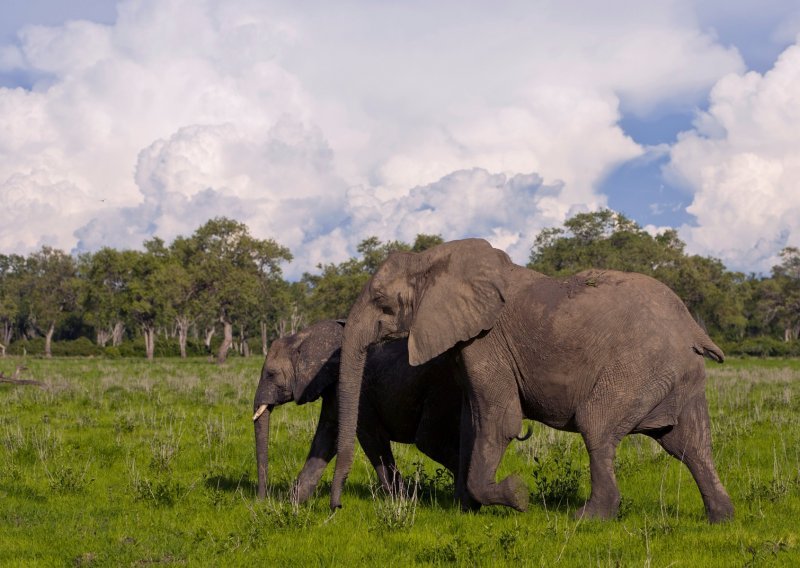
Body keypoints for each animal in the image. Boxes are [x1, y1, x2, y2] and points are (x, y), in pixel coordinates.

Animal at [250, 320, 462, 502]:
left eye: (271, 374)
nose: (261, 500)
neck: (304, 336)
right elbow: (328, 435)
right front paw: (292, 503)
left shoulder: (359, 392)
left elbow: (370, 438)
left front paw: (404, 502)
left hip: (441, 390)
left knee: (429, 441)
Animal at [328, 237, 736, 520]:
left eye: (383, 304)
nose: (336, 508)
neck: (431, 259)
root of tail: (691, 327)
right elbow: (472, 420)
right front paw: (465, 509)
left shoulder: (486, 341)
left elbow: (500, 421)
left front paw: (516, 496)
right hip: (677, 375)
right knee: (689, 443)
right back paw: (721, 518)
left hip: (639, 366)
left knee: (598, 425)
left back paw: (588, 518)